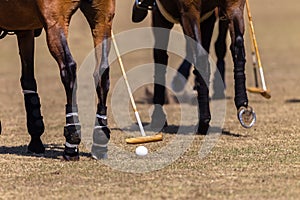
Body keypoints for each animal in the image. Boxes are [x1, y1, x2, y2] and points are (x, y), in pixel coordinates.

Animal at [0, 0, 115, 160]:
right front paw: (36, 140)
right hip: (102, 17)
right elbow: (28, 81)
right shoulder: (25, 29)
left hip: (55, 20)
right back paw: (100, 142)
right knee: (102, 71)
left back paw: (71, 144)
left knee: (69, 68)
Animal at [146, 0, 254, 134]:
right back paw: (241, 104)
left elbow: (160, 58)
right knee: (237, 46)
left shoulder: (161, 15)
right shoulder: (209, 18)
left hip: (190, 11)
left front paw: (158, 117)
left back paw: (203, 121)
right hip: (233, 7)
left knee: (203, 54)